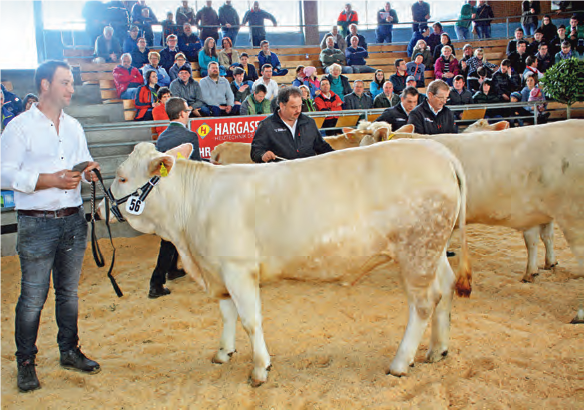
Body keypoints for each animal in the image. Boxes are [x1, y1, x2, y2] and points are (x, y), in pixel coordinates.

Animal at [100, 139, 472, 386]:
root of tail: (441, 152)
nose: (102, 208)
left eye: (121, 177)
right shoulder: (219, 270)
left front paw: (259, 369)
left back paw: (400, 362)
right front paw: (223, 352)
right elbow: (227, 314)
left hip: (416, 251)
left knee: (423, 304)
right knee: (446, 288)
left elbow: (250, 319)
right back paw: (438, 350)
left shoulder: (238, 269)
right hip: (432, 250)